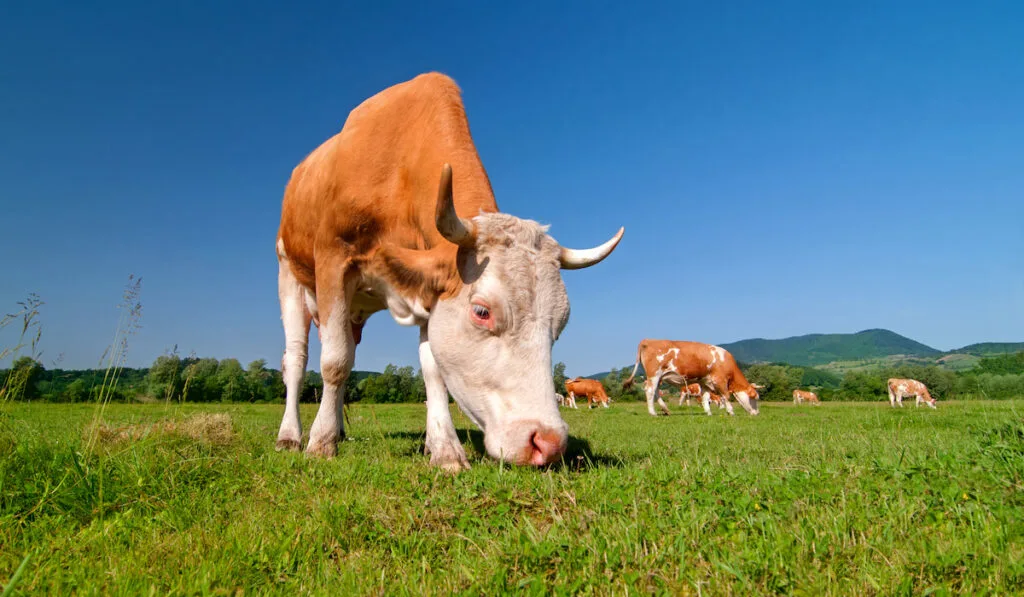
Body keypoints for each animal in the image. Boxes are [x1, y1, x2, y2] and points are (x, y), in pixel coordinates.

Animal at [618, 337, 757, 417]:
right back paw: (653, 413)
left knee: (656, 391)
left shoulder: (704, 381)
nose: (757, 413)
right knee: (650, 391)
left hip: (658, 377)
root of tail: (648, 340)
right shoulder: (720, 380)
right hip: (654, 374)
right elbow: (726, 395)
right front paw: (731, 412)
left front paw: (708, 412)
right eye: (755, 398)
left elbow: (706, 397)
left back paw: (666, 410)